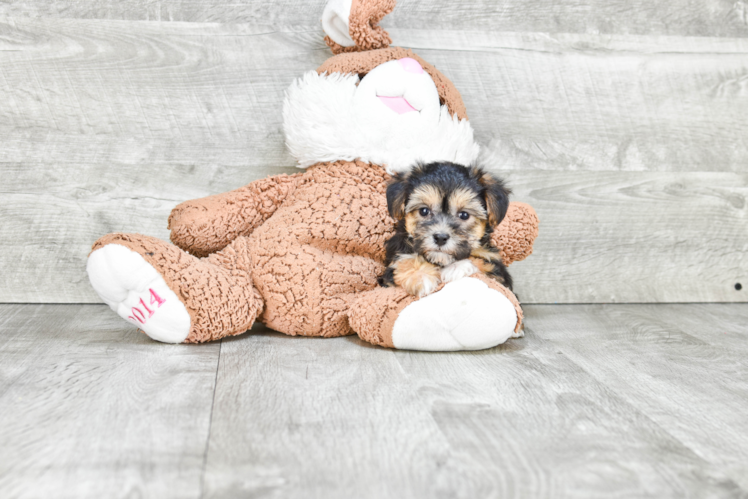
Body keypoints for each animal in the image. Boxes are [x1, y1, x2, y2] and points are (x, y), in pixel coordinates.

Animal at [376, 162, 512, 298]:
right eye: (424, 211)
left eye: (464, 215)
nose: (440, 237)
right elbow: (403, 260)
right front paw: (421, 276)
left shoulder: (498, 272)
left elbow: (483, 261)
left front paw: (457, 267)